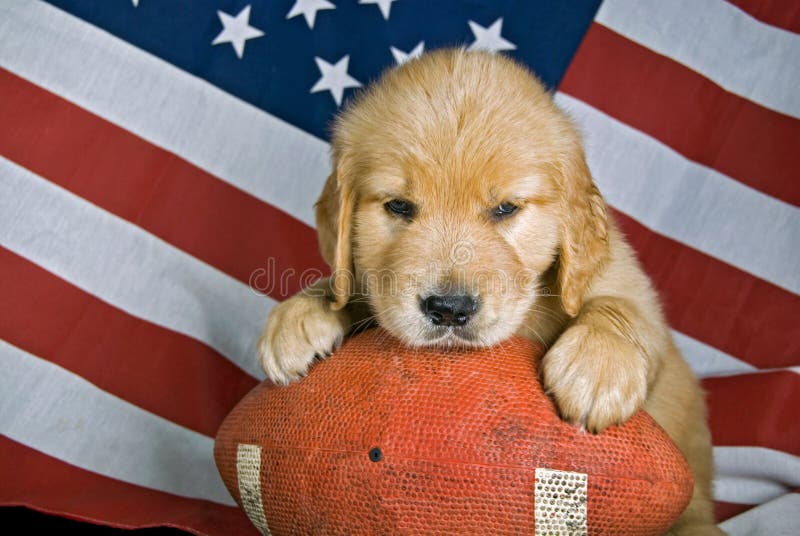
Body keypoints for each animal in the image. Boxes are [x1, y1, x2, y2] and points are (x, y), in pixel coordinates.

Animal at [260, 48, 720, 532]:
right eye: (399, 206)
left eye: (505, 208)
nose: (448, 309)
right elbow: (349, 288)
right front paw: (300, 316)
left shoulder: (627, 284)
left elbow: (622, 308)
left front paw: (596, 368)